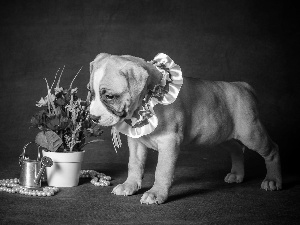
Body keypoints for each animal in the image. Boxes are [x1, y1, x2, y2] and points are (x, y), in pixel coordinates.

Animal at [88, 53, 282, 205]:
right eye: (91, 92)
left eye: (110, 96)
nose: (93, 117)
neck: (148, 98)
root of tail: (242, 85)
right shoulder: (136, 143)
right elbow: (134, 164)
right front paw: (130, 185)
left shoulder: (169, 142)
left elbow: (162, 171)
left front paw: (156, 194)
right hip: (223, 135)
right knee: (236, 149)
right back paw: (236, 175)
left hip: (251, 133)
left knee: (272, 150)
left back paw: (273, 180)